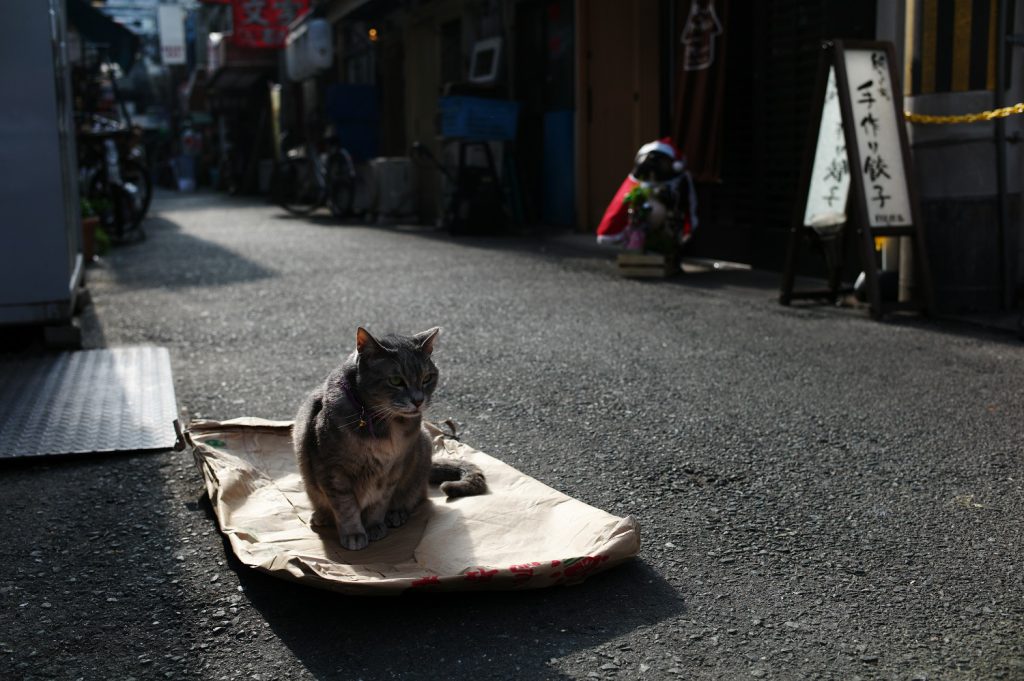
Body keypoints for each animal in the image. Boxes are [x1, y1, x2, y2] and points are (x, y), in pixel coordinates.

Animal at [292, 323, 483, 548]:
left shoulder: (392, 470)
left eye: (427, 378)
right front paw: (354, 533)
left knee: (416, 497)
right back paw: (321, 516)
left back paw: (397, 513)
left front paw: (374, 526)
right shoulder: (333, 470)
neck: (382, 423)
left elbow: (379, 502)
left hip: (422, 447)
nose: (418, 400)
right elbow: (345, 506)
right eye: (396, 381)